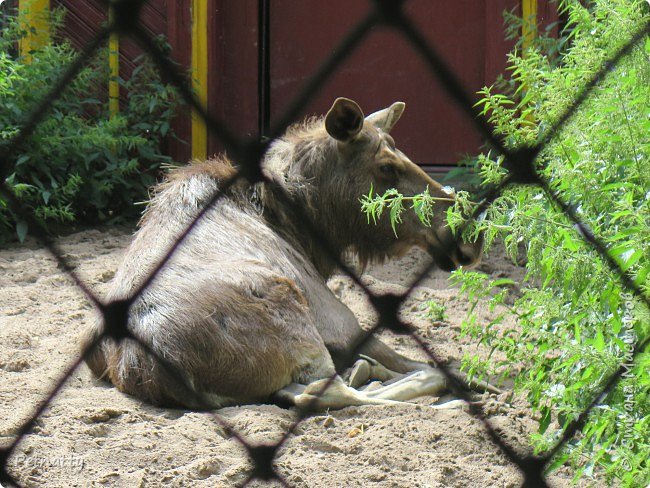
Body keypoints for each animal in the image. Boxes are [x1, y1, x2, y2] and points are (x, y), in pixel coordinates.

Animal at [82, 97, 486, 410]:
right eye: (387, 166)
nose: (473, 234)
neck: (303, 225)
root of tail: (148, 367)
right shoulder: (339, 321)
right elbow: (433, 363)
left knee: (303, 391)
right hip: (295, 315)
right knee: (329, 391)